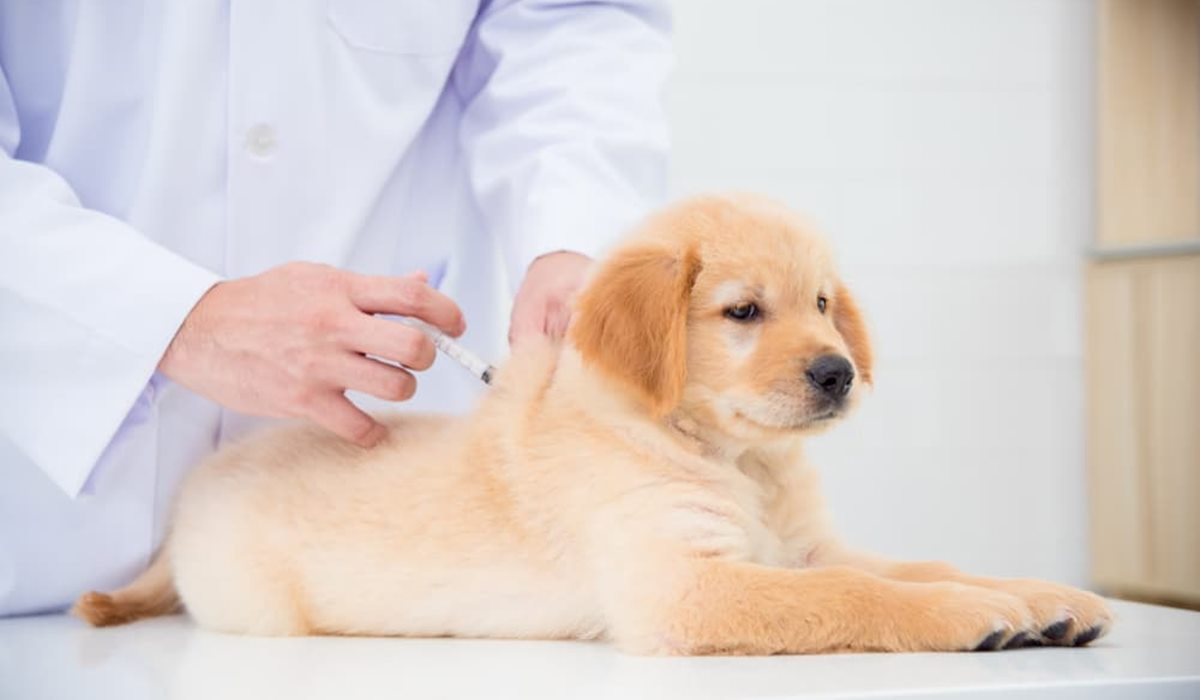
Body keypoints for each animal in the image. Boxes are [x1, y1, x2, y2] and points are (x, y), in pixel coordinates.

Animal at [75, 194, 1108, 653]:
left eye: (822, 303)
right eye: (743, 312)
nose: (839, 372)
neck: (741, 463)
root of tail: (191, 498)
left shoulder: (807, 547)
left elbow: (916, 565)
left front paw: (1039, 594)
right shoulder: (685, 588)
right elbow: (863, 597)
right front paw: (974, 614)